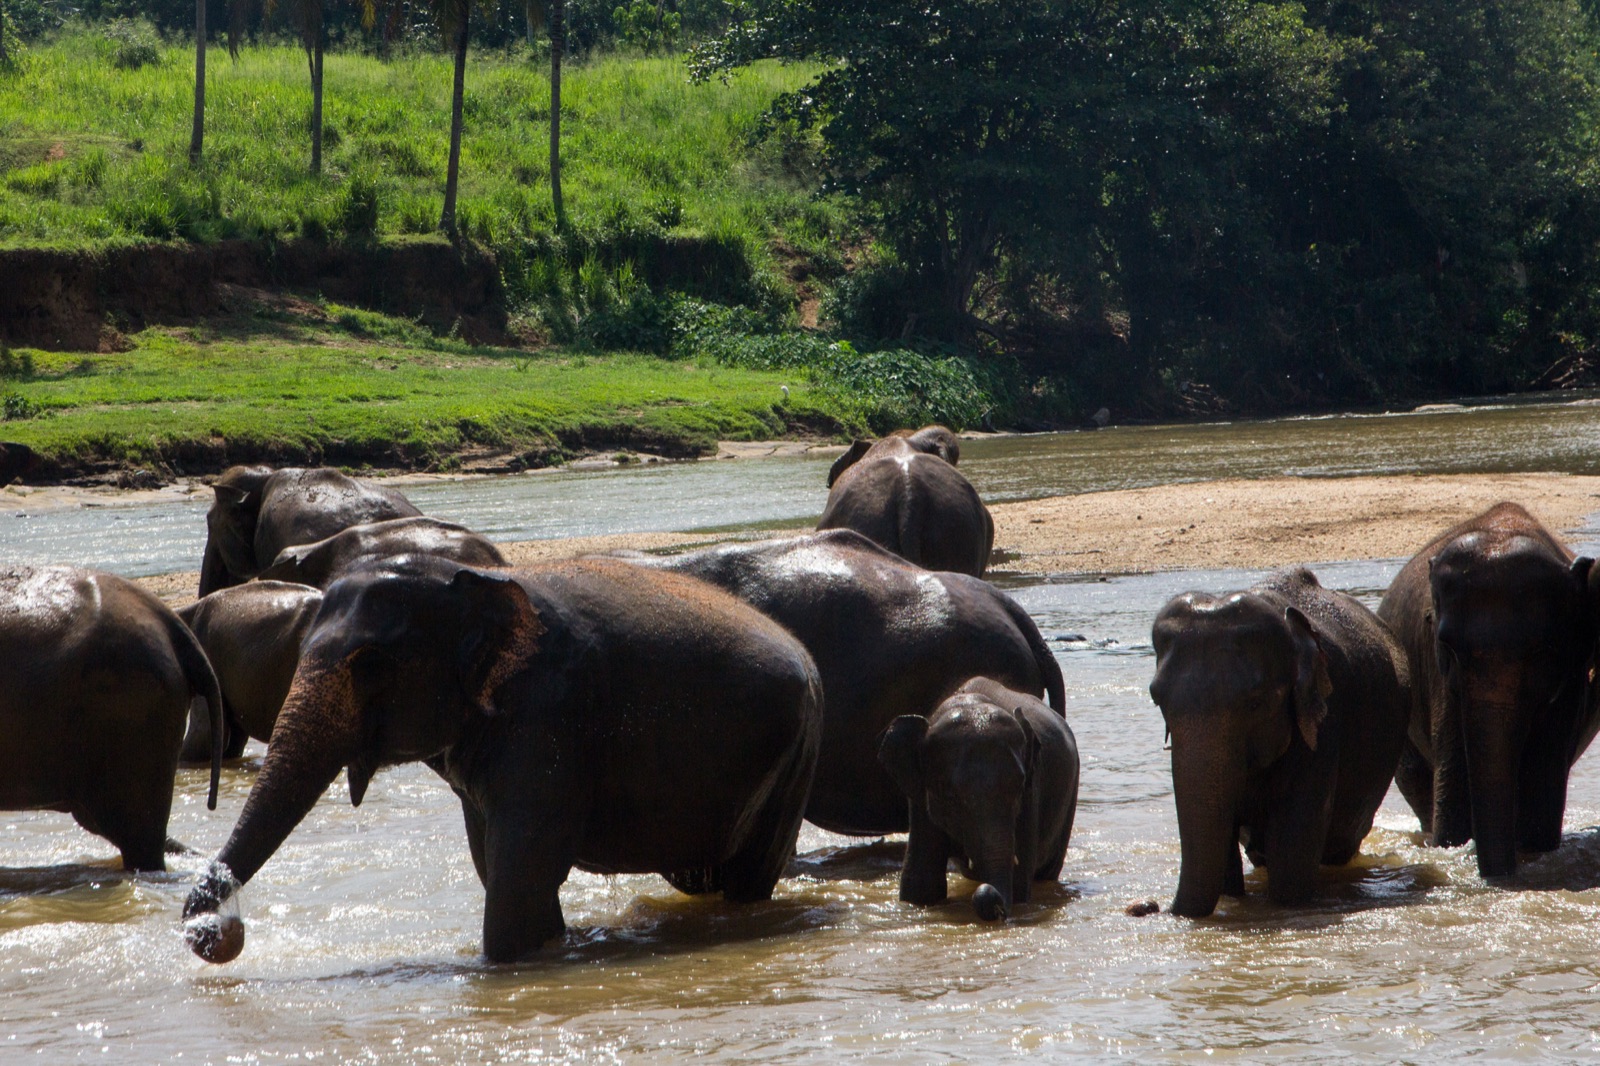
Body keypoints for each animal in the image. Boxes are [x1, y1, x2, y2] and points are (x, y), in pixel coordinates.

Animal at [879, 677, 1079, 921]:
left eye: (1019, 786)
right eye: (950, 795)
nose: (995, 906)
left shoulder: (1032, 791)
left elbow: (1019, 882)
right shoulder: (918, 795)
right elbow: (921, 882)